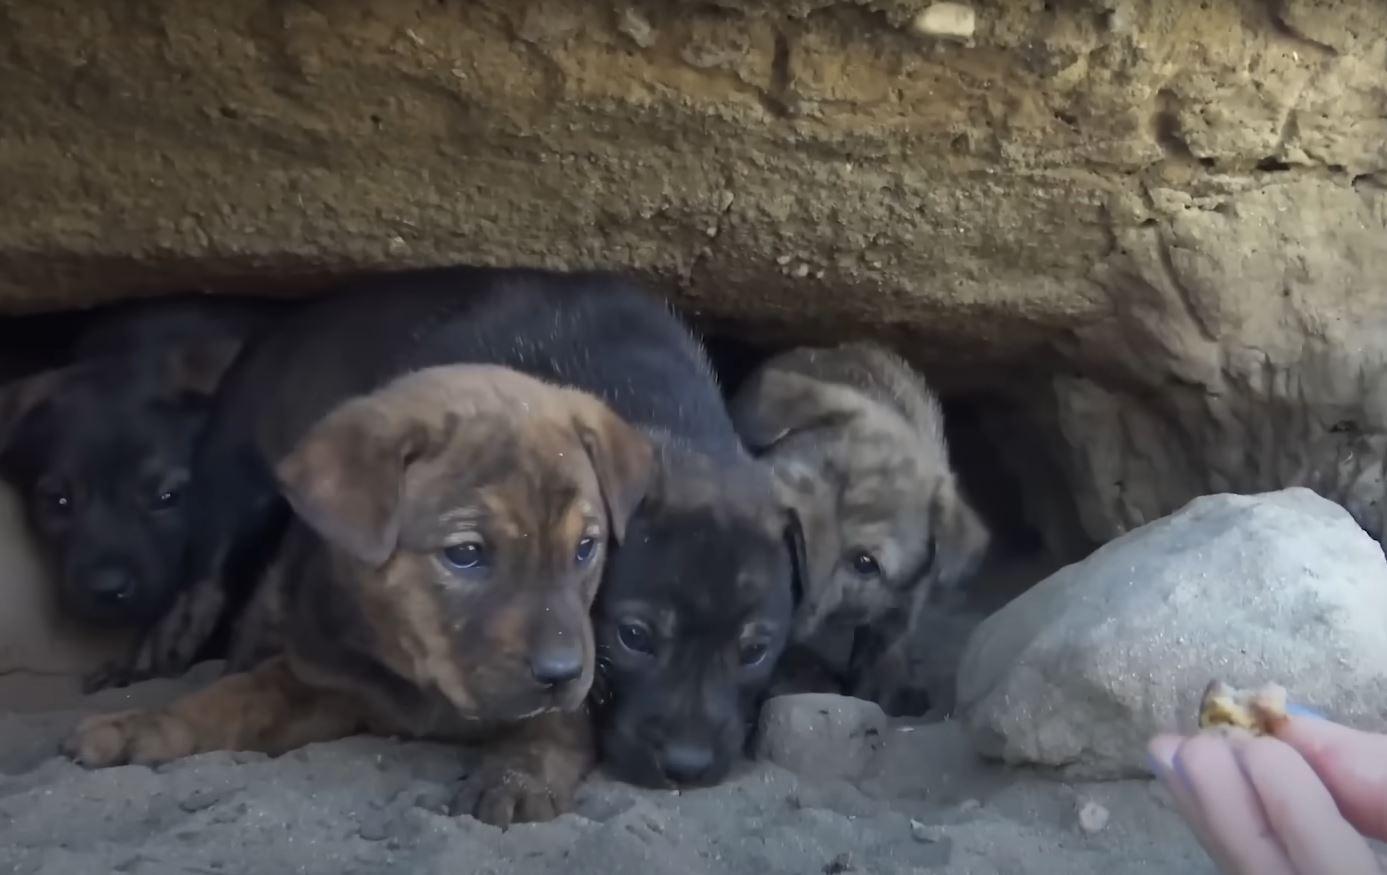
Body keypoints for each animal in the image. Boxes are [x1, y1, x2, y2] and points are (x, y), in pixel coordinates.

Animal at [63, 366, 649, 832]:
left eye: (586, 548)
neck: (421, 676)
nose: (561, 672)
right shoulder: (322, 680)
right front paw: (138, 726)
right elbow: (230, 699)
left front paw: (518, 778)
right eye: (466, 554)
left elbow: (548, 727)